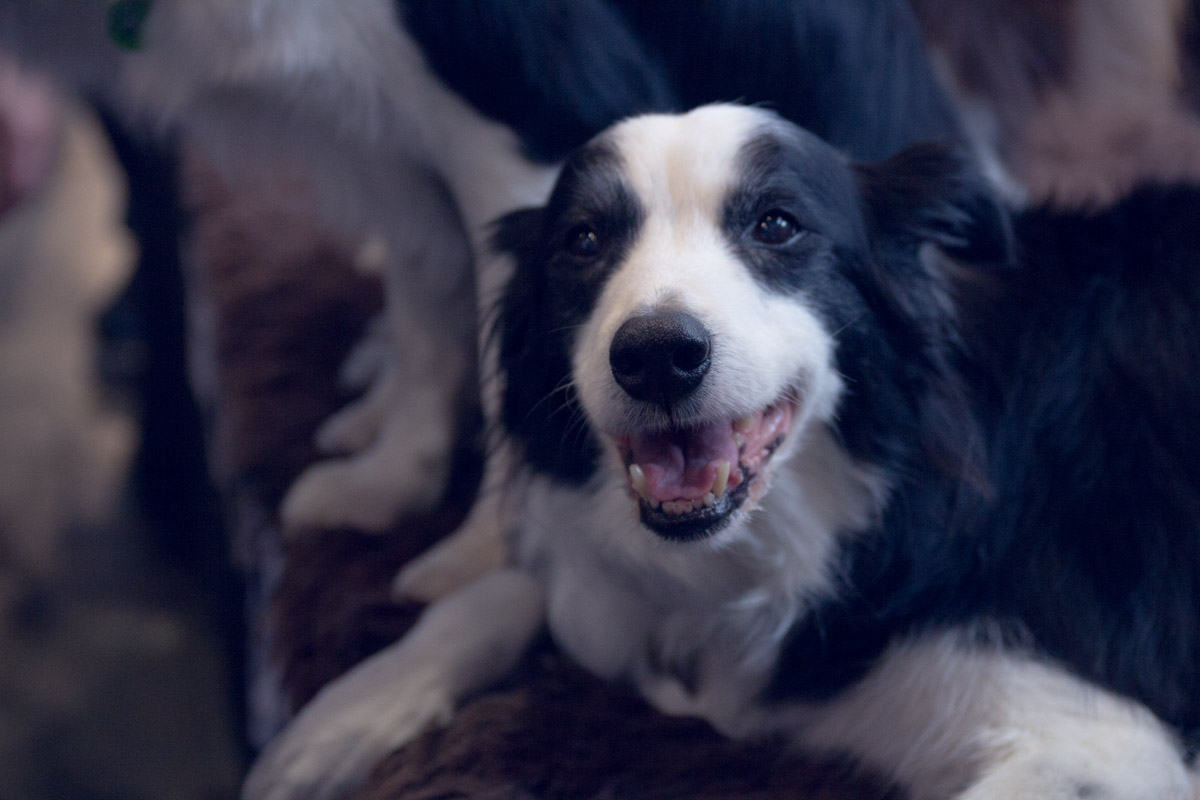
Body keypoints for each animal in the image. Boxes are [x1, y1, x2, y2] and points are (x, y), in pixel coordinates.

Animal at [246, 103, 1200, 796]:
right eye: (582, 241)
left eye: (776, 225)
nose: (656, 355)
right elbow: (527, 585)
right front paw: (341, 715)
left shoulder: (1100, 739)